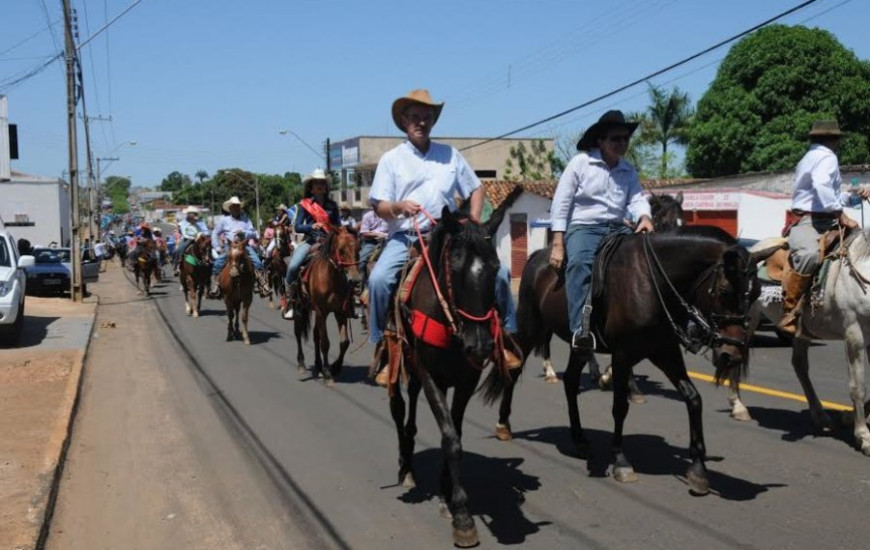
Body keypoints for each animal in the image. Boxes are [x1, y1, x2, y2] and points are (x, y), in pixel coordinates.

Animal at [294, 226, 360, 386]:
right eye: (341, 250)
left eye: (358, 248)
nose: (355, 280)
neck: (331, 278)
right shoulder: (321, 311)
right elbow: (325, 343)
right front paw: (328, 374)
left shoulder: (340, 312)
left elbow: (344, 342)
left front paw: (335, 367)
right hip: (300, 307)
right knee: (298, 333)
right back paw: (302, 364)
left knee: (315, 335)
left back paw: (318, 366)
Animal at [388, 206, 510, 548]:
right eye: (454, 266)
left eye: (496, 267)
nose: (479, 344)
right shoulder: (431, 376)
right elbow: (450, 438)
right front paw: (463, 517)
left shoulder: (467, 379)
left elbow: (456, 432)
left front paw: (447, 492)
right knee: (399, 409)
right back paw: (405, 466)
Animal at [488, 226, 768, 498]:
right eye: (724, 291)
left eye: (756, 292)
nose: (732, 354)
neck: (651, 282)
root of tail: (538, 256)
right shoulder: (622, 354)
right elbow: (620, 407)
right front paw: (621, 461)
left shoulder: (664, 351)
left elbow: (693, 399)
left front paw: (698, 469)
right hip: (531, 328)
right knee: (515, 370)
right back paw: (503, 424)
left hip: (578, 345)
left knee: (570, 382)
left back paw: (579, 439)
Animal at [732, 235, 870, 454]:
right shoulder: (854, 333)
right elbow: (857, 387)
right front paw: (863, 436)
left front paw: (848, 417)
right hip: (747, 319)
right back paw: (738, 407)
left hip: (800, 331)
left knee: (799, 366)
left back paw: (820, 416)